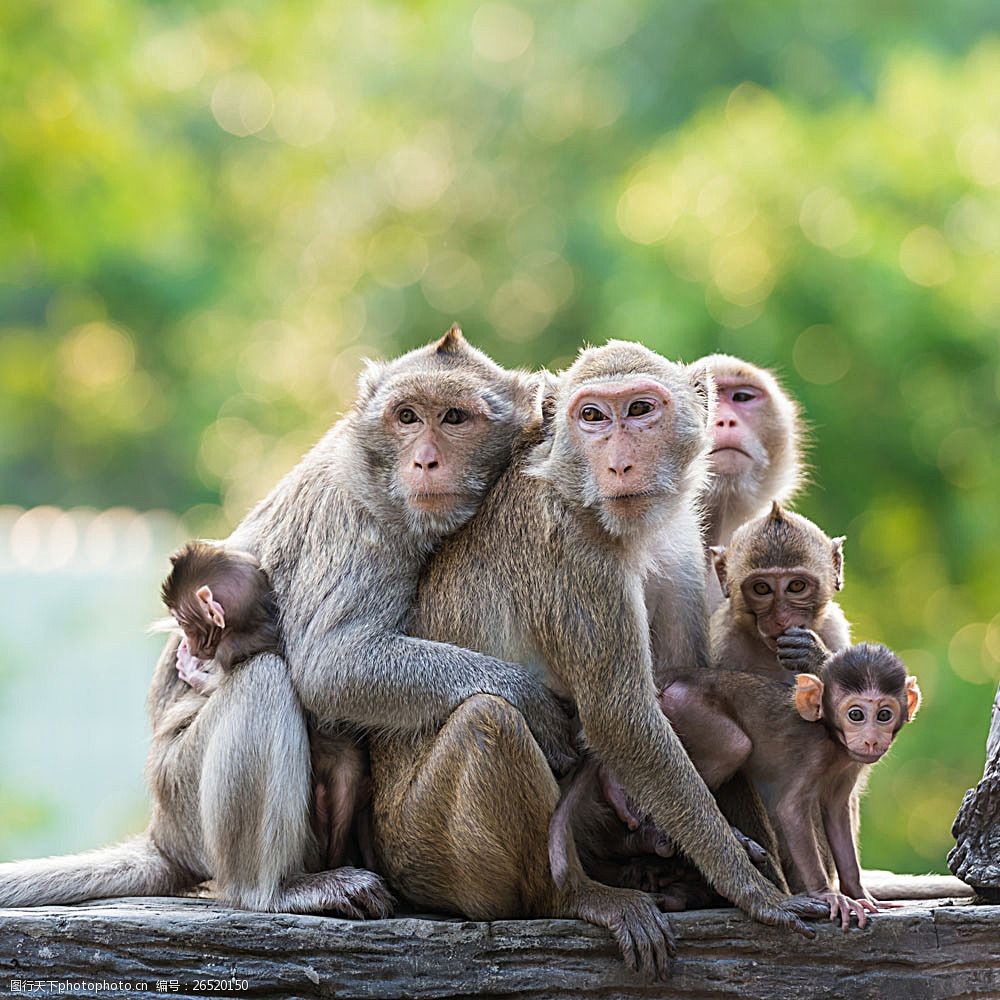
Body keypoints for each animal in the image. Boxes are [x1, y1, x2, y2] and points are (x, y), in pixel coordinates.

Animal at [0, 328, 572, 920]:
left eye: (455, 418)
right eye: (408, 417)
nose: (426, 461)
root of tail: (162, 833)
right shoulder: (361, 523)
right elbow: (331, 666)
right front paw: (530, 699)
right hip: (183, 794)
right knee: (263, 680)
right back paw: (270, 890)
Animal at [372, 340, 824, 980]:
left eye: (639, 410)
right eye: (592, 417)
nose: (618, 464)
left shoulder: (682, 543)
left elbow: (695, 694)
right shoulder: (573, 553)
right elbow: (623, 719)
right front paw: (758, 893)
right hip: (422, 854)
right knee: (491, 722)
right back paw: (574, 897)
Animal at [656, 644, 920, 924]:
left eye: (884, 715)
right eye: (856, 714)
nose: (871, 740)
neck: (831, 737)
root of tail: (677, 677)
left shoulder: (851, 763)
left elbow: (836, 813)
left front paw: (859, 893)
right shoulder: (813, 755)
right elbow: (791, 811)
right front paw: (828, 895)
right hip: (687, 705)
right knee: (733, 744)